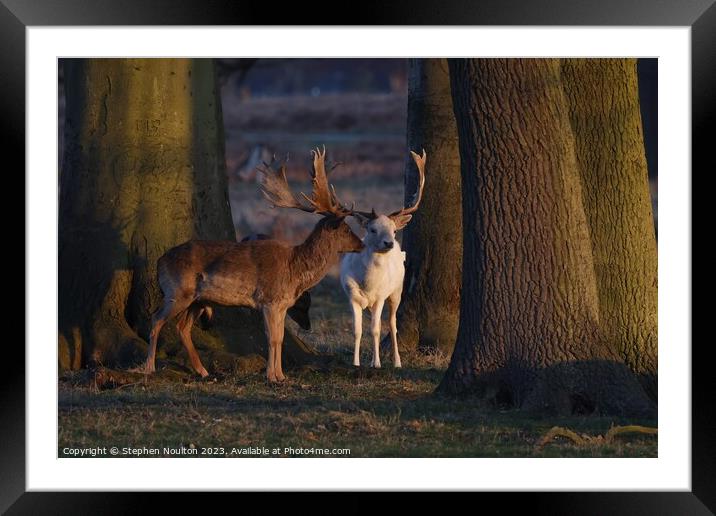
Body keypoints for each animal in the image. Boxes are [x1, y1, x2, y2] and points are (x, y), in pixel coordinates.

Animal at [148, 147, 366, 380]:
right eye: (346, 229)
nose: (362, 244)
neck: (295, 270)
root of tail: (160, 261)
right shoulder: (269, 300)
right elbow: (272, 338)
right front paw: (271, 376)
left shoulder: (281, 304)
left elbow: (280, 338)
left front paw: (281, 376)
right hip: (177, 291)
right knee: (156, 319)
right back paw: (149, 367)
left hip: (197, 300)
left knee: (182, 327)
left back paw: (203, 371)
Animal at [340, 149, 426, 366]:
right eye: (372, 229)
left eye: (394, 230)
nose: (389, 243)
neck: (368, 284)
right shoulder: (351, 295)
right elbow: (357, 331)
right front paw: (356, 363)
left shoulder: (380, 296)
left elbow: (376, 330)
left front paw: (377, 363)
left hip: (396, 291)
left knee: (392, 324)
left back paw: (397, 362)